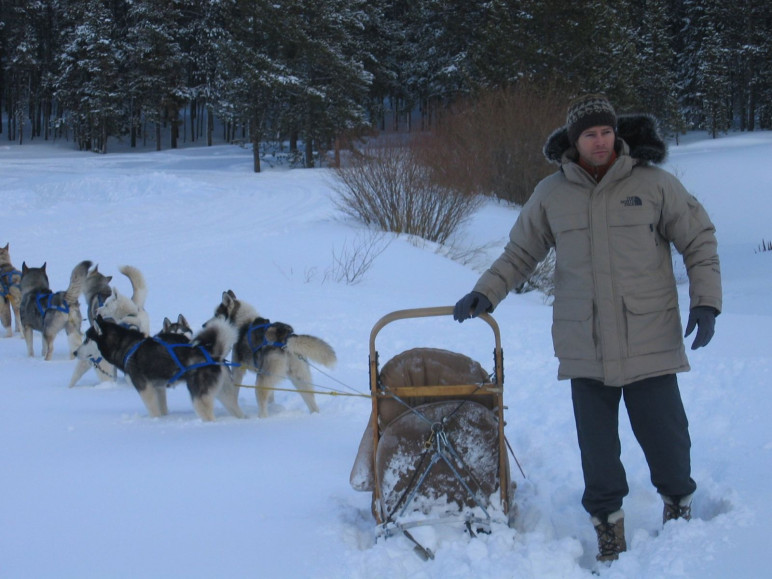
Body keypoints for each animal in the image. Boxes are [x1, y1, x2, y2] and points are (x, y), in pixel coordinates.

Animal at [81, 318, 244, 422]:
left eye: (86, 339)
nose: (76, 352)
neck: (127, 346)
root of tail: (213, 354)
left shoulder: (145, 388)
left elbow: (153, 411)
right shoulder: (159, 388)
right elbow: (162, 409)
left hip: (199, 397)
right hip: (225, 394)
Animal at [207, 292, 336, 420]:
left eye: (216, 315)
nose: (204, 325)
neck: (243, 322)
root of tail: (286, 338)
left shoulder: (238, 370)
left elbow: (235, 390)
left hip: (262, 380)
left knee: (262, 405)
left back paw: (261, 418)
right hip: (300, 379)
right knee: (312, 403)